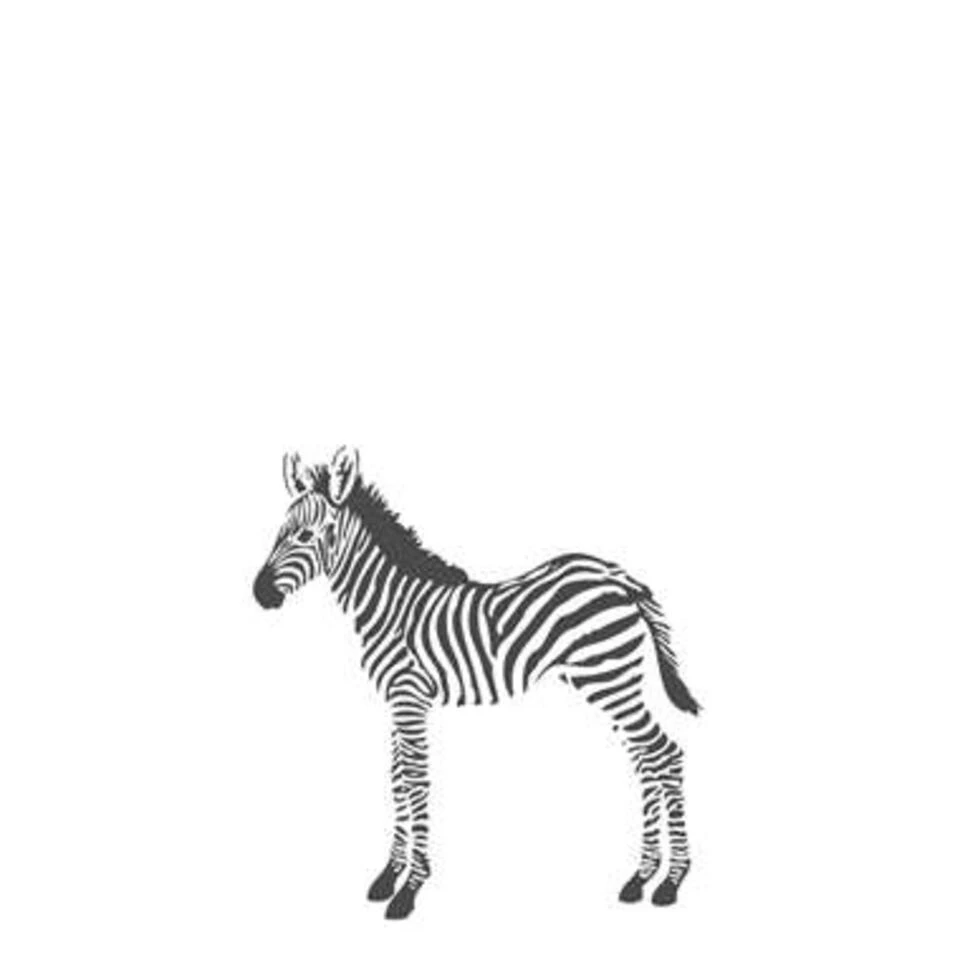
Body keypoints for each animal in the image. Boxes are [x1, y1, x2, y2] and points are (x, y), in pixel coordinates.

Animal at [253, 446, 700, 919]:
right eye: (279, 533)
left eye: (305, 536)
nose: (260, 594)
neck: (391, 605)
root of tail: (619, 577)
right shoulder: (396, 700)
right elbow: (396, 777)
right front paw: (388, 876)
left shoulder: (410, 697)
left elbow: (415, 777)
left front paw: (410, 889)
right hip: (611, 682)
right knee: (645, 760)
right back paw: (640, 878)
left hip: (609, 677)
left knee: (665, 753)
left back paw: (670, 882)